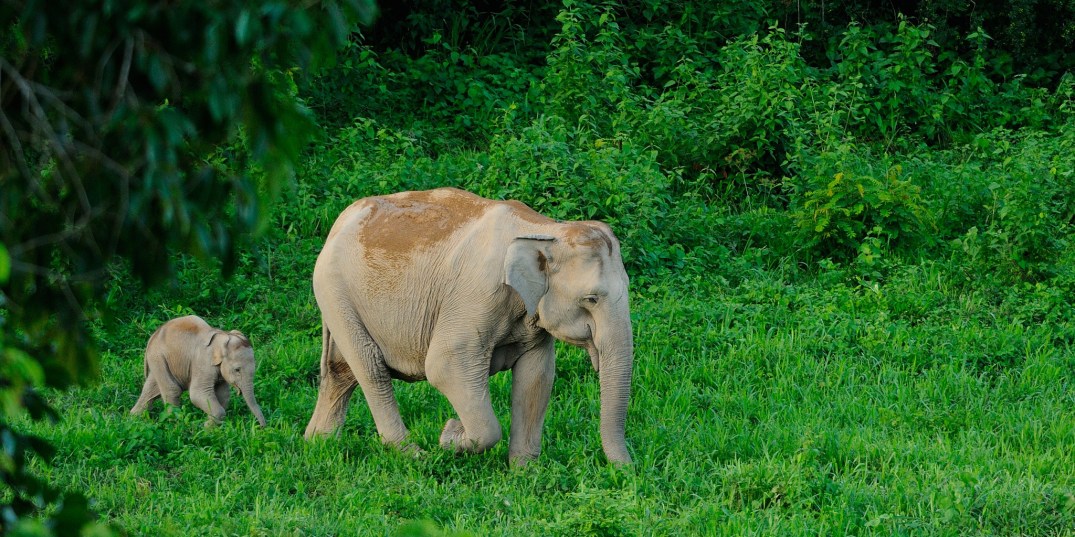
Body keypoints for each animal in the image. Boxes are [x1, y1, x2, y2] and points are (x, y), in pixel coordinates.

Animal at [131, 315, 267, 427]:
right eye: (237, 370)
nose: (262, 427)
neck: (223, 336)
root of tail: (152, 336)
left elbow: (223, 394)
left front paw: (211, 427)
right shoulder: (203, 363)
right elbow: (197, 393)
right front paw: (205, 428)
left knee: (151, 389)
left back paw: (134, 418)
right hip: (158, 357)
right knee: (172, 389)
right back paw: (174, 424)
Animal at [303, 187, 634, 465]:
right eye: (591, 299)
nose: (628, 471)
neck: (545, 229)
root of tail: (339, 221)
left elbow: (537, 376)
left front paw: (525, 473)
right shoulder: (476, 295)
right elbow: (444, 366)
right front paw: (449, 435)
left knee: (340, 371)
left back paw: (318, 445)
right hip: (334, 289)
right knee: (370, 367)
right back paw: (415, 455)